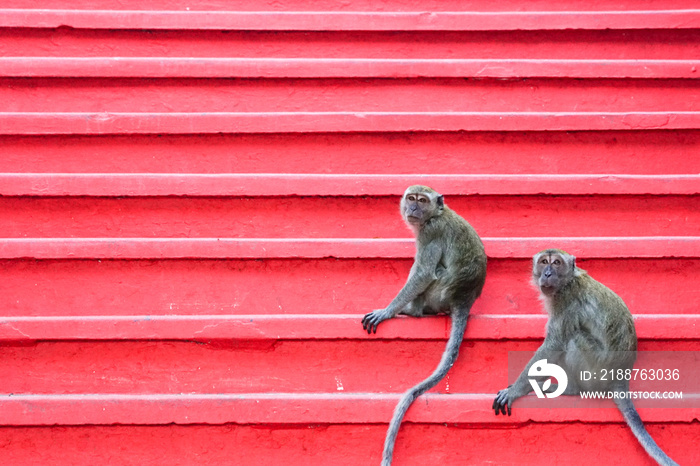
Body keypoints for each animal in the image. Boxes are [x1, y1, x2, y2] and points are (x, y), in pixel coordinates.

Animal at [360, 184, 486, 464]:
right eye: (411, 198)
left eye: (422, 200)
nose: (414, 208)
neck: (435, 214)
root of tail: (464, 299)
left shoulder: (430, 233)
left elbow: (423, 272)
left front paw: (388, 311)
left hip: (438, 295)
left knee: (432, 273)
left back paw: (412, 310)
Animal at [492, 249, 680, 464]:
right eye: (544, 262)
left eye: (556, 263)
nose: (547, 273)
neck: (568, 281)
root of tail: (621, 375)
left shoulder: (567, 302)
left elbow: (554, 345)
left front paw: (515, 390)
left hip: (595, 370)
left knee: (573, 339)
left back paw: (570, 389)